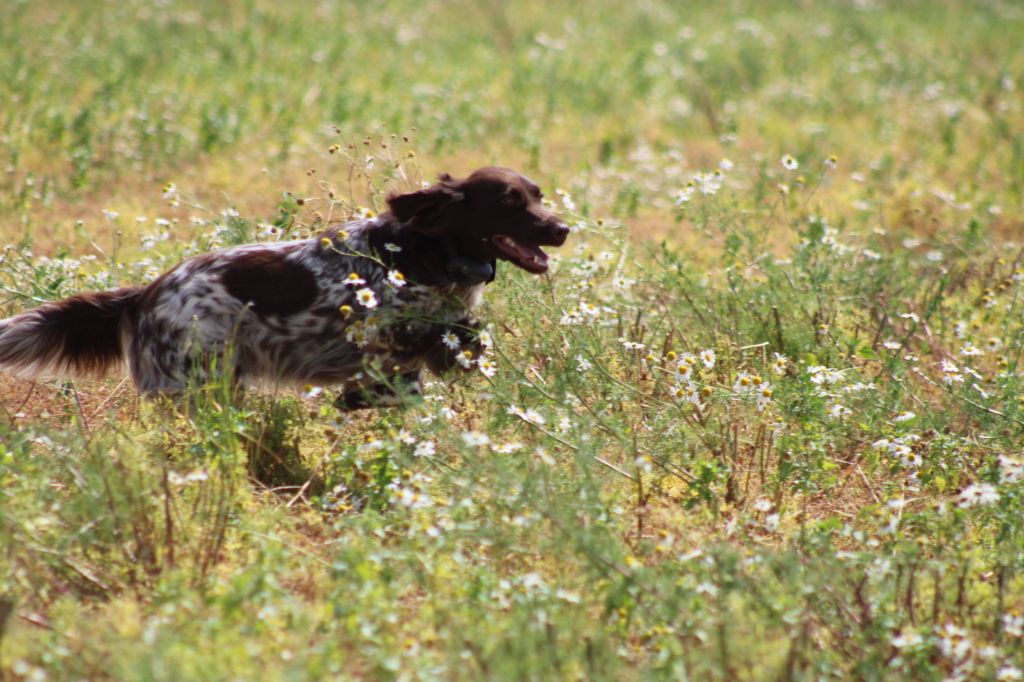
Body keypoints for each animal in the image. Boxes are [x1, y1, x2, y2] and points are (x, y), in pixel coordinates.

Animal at [0, 166, 569, 405]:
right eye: (509, 202)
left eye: (538, 195)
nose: (562, 228)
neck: (426, 253)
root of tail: (145, 294)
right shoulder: (381, 327)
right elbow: (433, 336)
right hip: (199, 384)